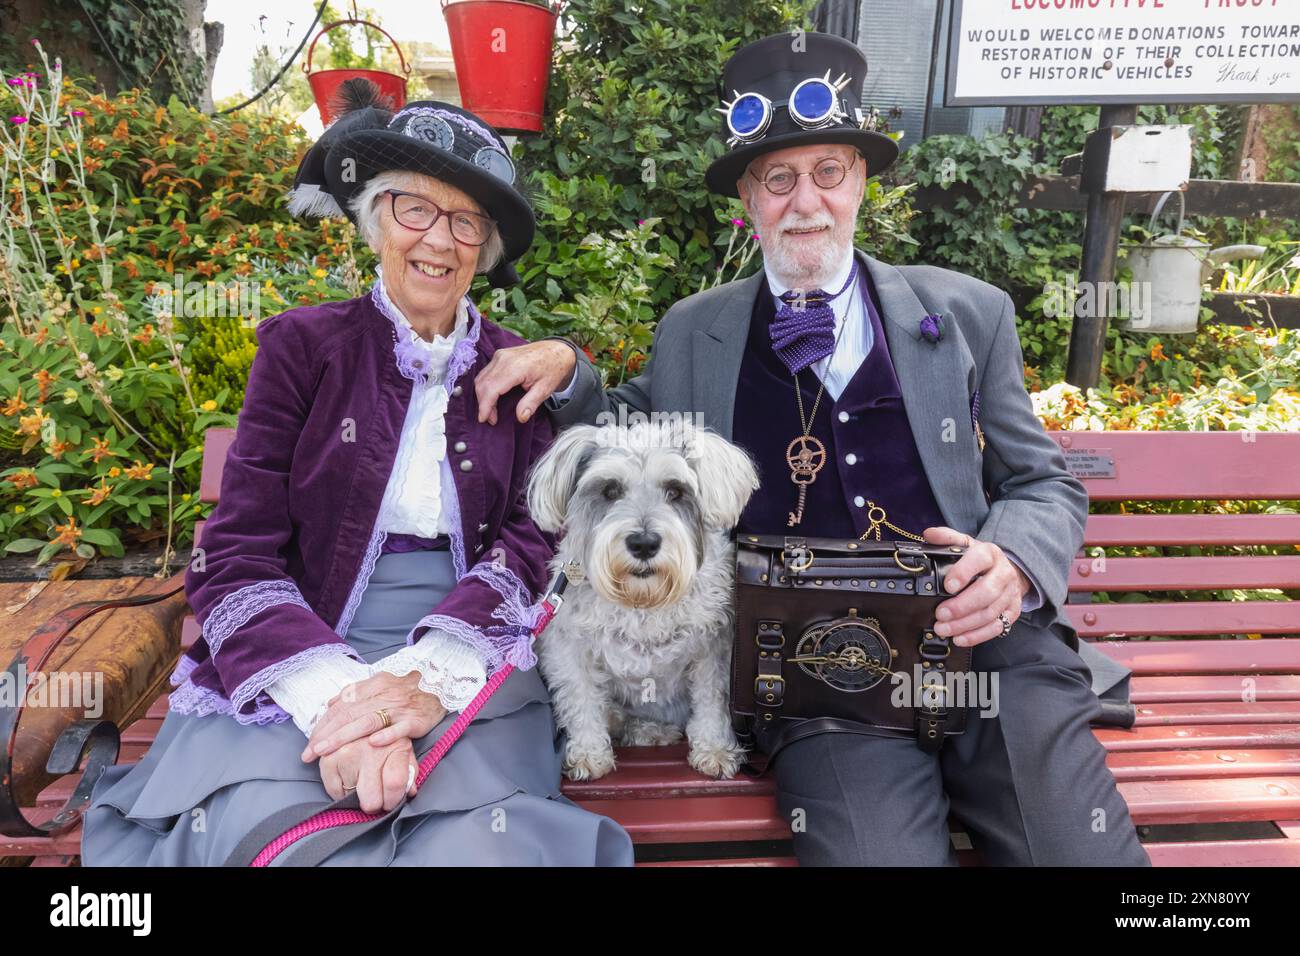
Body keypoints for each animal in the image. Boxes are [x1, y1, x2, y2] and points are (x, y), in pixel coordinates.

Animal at [522, 421, 759, 780]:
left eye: (675, 491)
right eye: (610, 490)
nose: (644, 543)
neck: (643, 597)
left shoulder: (714, 649)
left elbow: (712, 699)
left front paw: (715, 748)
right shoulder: (568, 648)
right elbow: (581, 697)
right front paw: (589, 753)